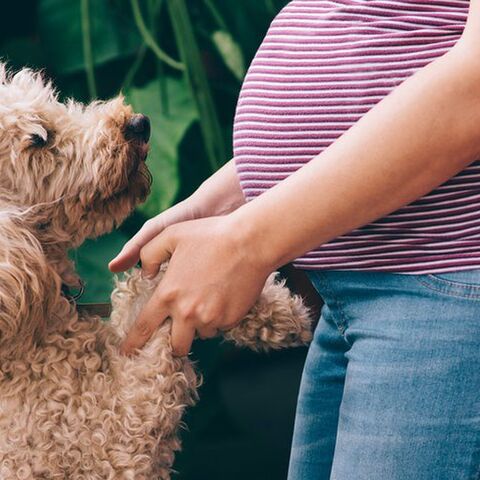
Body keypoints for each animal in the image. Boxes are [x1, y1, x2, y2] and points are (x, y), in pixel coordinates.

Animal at [0, 64, 312, 480]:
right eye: (39, 138)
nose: (139, 123)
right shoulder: (111, 442)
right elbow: (159, 296)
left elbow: (139, 293)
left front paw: (278, 312)